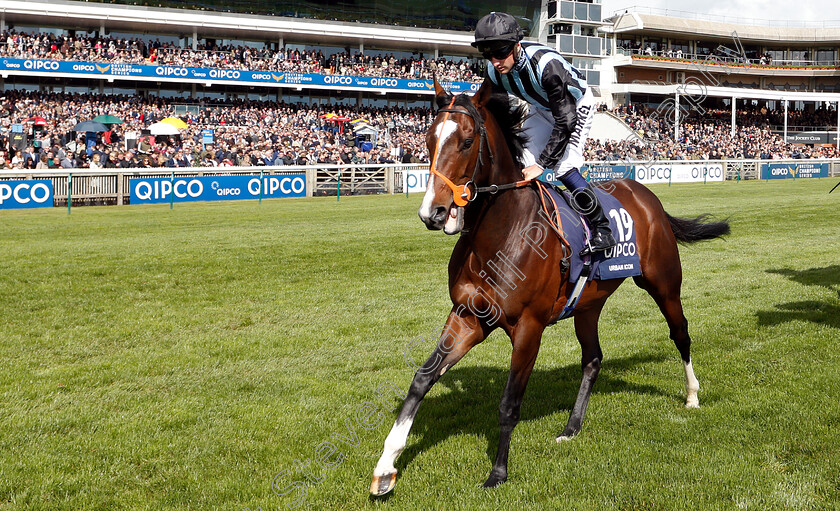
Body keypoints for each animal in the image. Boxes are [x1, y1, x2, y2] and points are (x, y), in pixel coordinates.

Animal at [368, 81, 728, 496]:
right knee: (593, 358)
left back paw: (692, 395)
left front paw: (498, 472)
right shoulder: (467, 316)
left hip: (664, 283)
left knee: (680, 332)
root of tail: (645, 194)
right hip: (588, 304)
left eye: (467, 141)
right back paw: (571, 427)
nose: (433, 212)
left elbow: (509, 402)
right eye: (429, 139)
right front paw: (386, 466)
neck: (501, 234)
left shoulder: (529, 326)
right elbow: (422, 379)